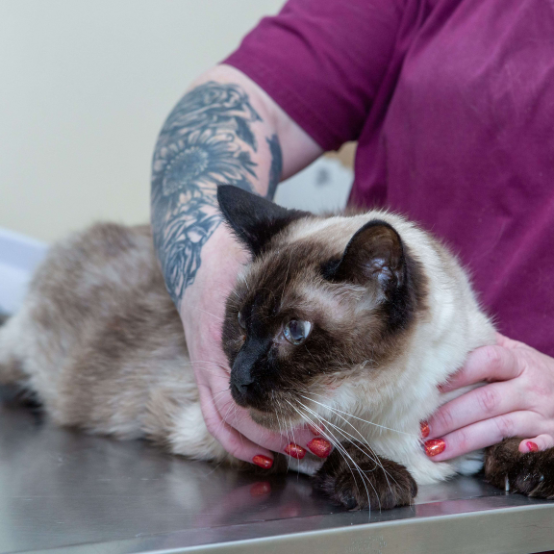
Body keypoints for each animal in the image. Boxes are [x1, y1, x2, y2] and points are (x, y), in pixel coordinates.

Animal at [0, 185, 544, 508]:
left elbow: (515, 437)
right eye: (240, 321)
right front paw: (380, 480)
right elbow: (327, 445)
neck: (392, 412)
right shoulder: (209, 427)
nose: (237, 380)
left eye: (295, 332)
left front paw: (536, 466)